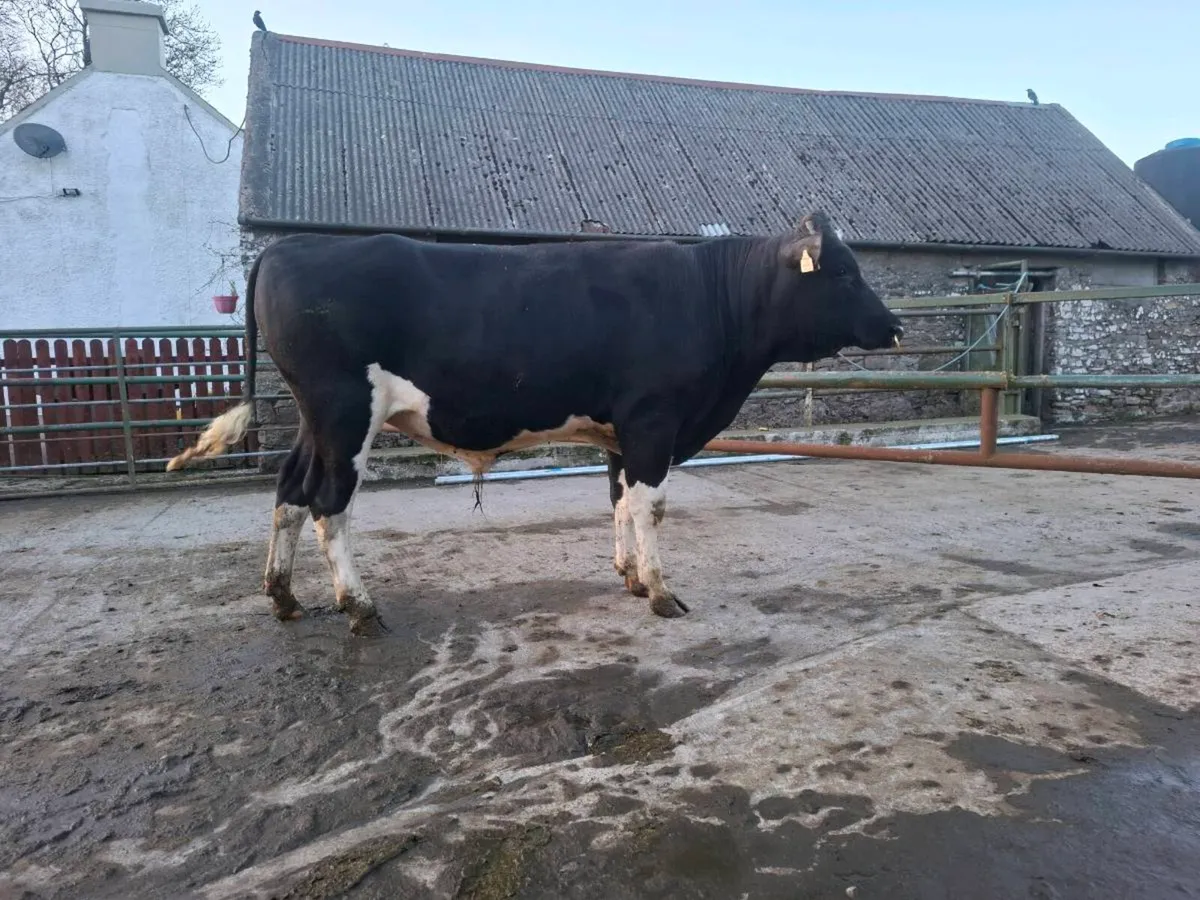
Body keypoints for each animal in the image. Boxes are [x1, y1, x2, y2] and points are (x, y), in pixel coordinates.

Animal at [167, 212, 904, 636]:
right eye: (842, 274)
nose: (894, 325)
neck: (710, 297)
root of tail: (291, 247)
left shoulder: (622, 429)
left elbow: (619, 501)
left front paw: (630, 576)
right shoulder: (655, 418)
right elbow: (651, 507)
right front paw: (662, 593)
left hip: (313, 418)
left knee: (290, 492)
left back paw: (283, 597)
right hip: (344, 411)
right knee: (328, 503)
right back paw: (360, 606)